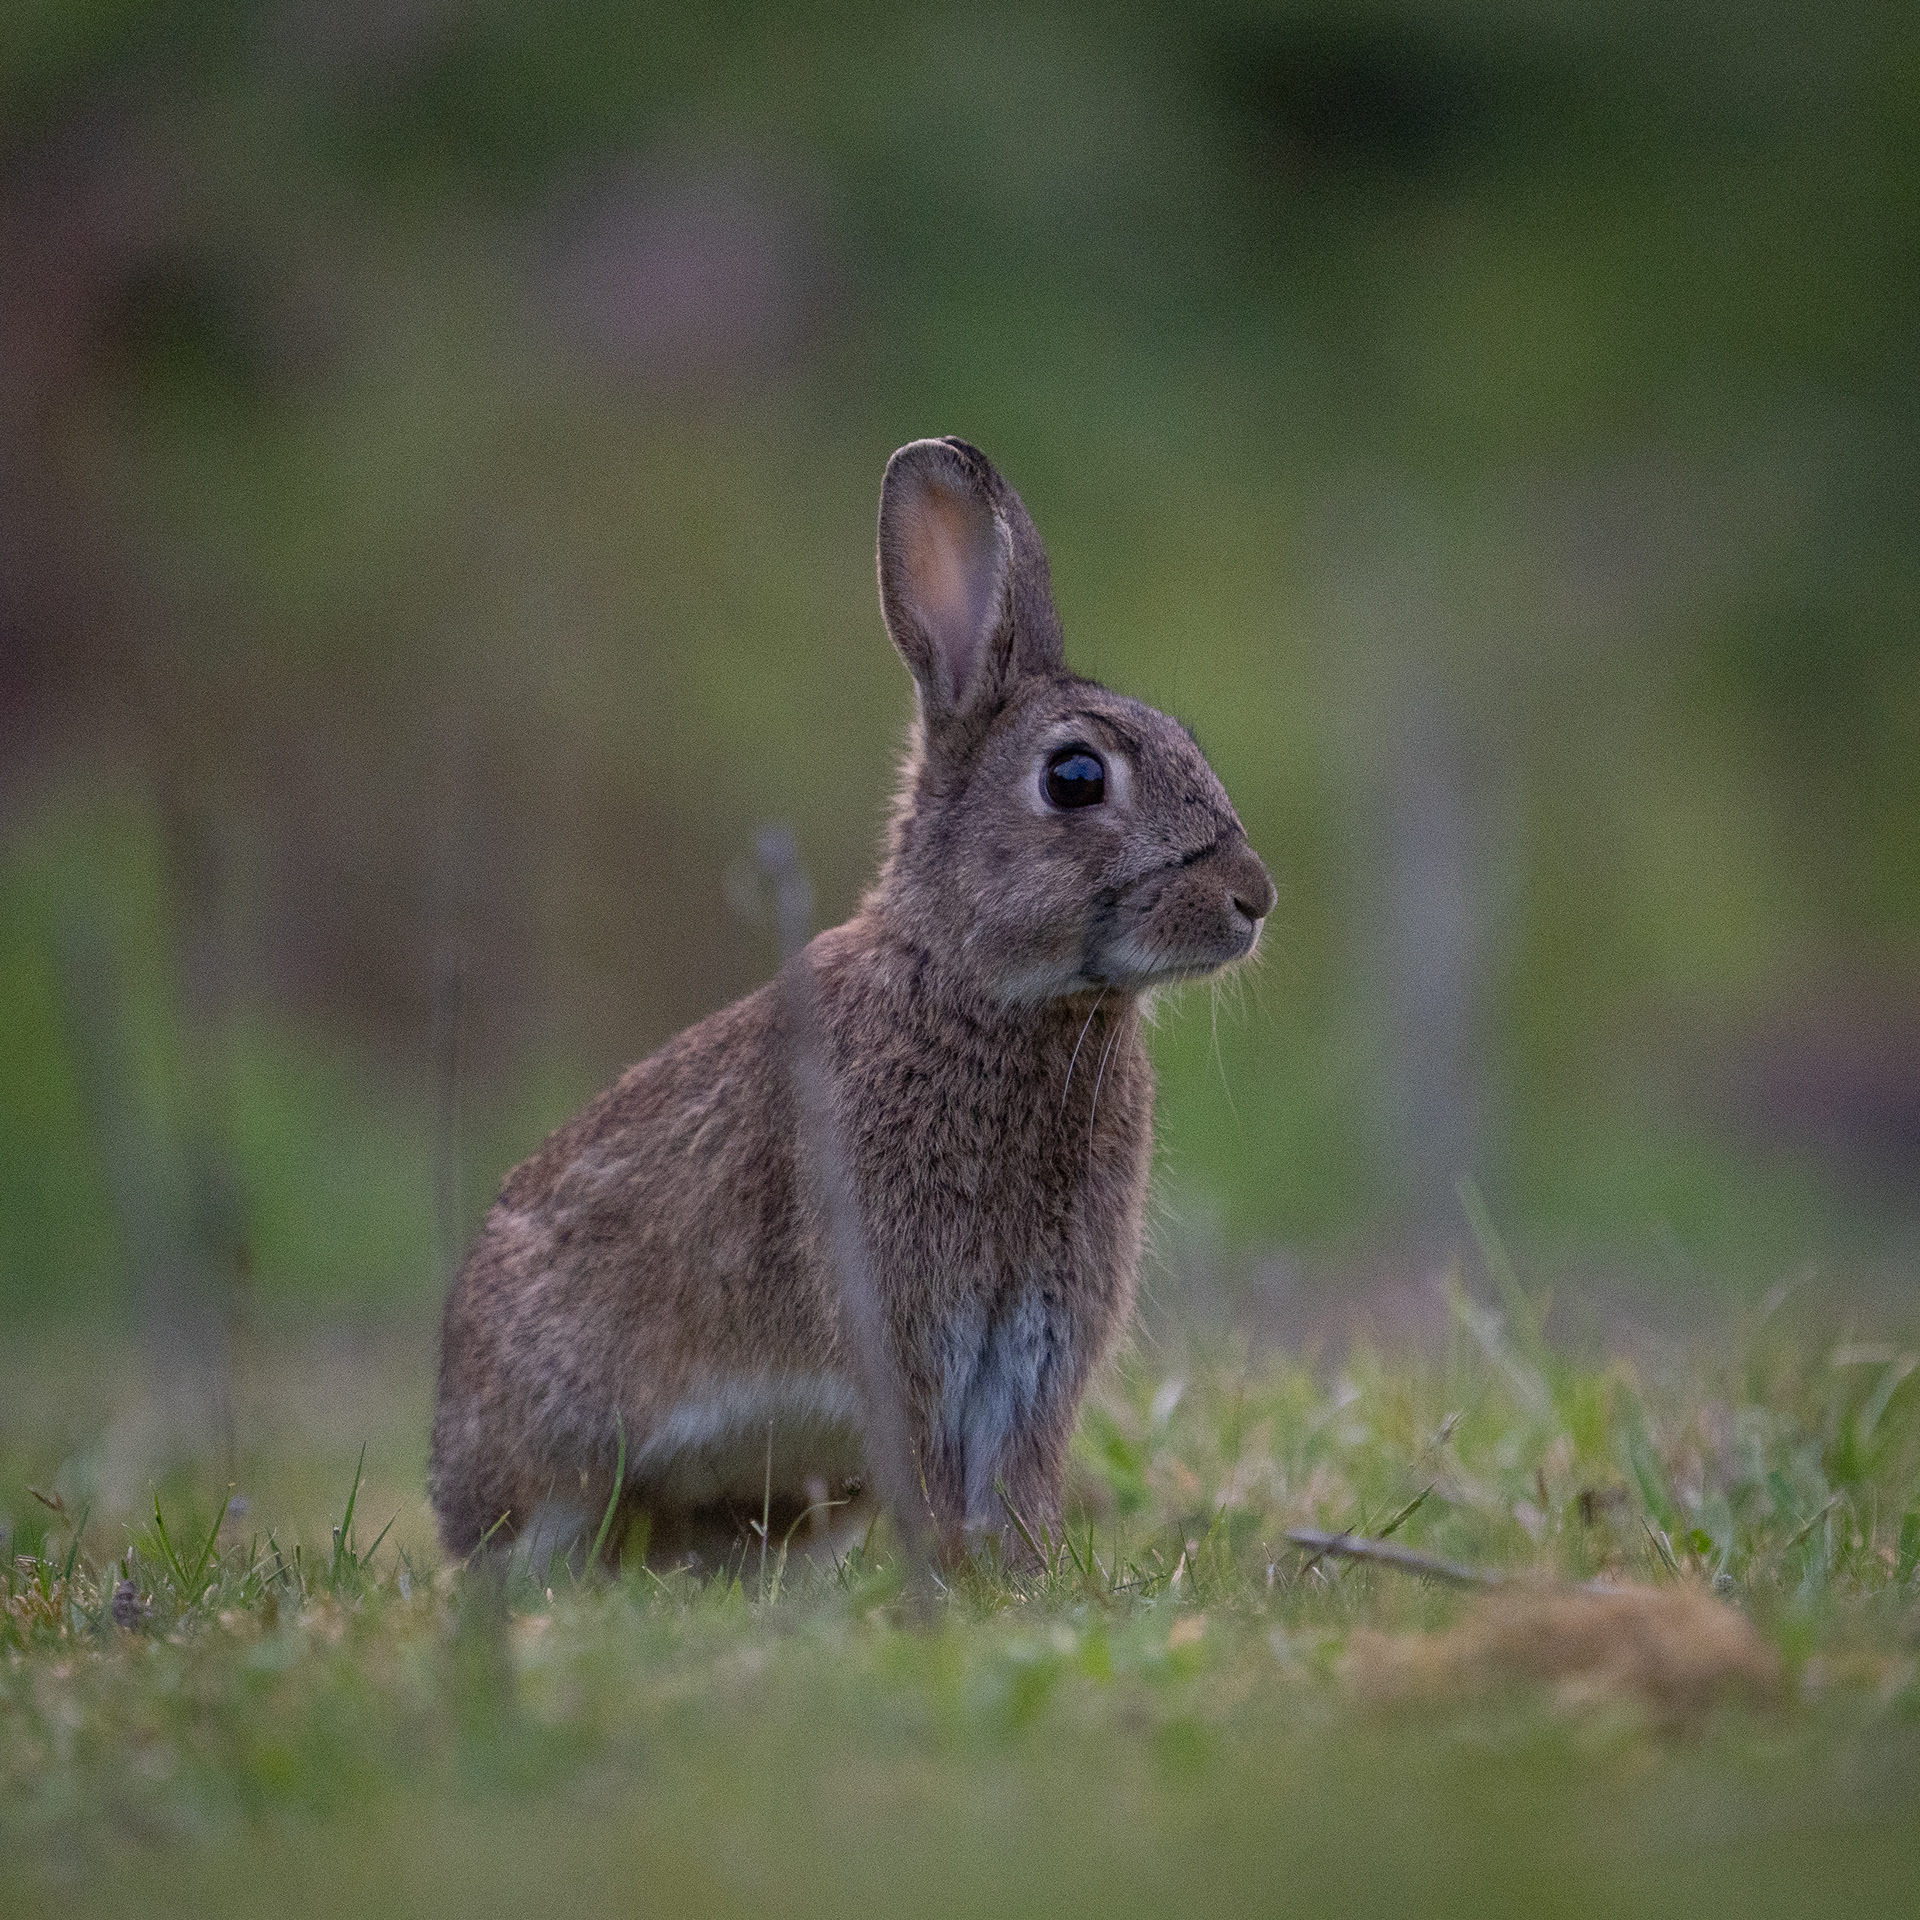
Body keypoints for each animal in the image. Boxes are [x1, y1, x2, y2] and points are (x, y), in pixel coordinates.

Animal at [428, 435, 1275, 1570]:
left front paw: (1019, 1577)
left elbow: (1018, 1476)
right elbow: (931, 1464)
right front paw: (965, 1581)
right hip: (551, 1453)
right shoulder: (905, 1324)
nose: (1253, 898)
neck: (980, 992)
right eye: (1075, 777)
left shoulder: (1035, 1342)